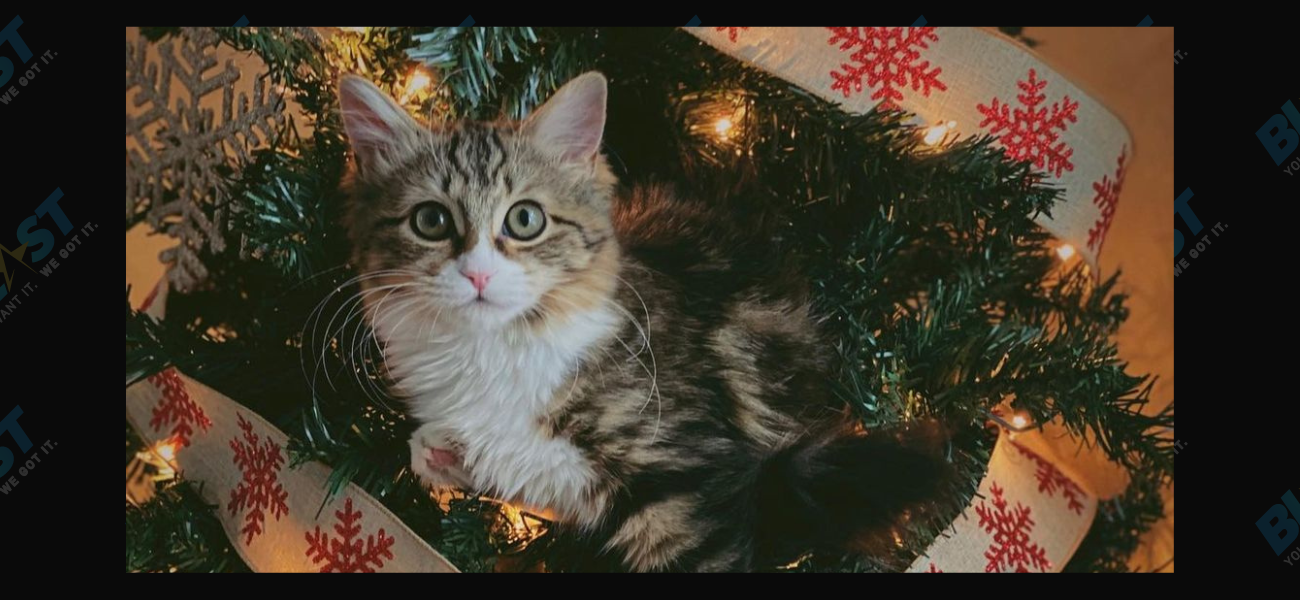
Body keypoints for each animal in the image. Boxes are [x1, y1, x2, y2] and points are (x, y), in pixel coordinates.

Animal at [335, 72, 946, 568]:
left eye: (525, 220)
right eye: (431, 221)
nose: (478, 275)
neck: (492, 354)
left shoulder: (683, 479)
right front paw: (447, 452)